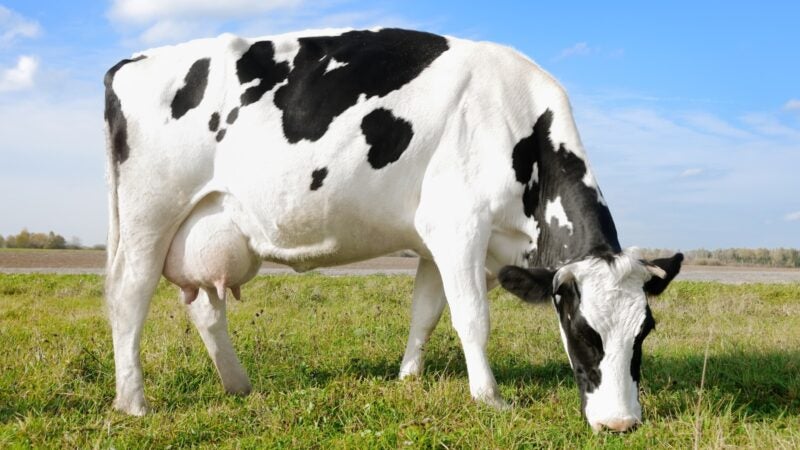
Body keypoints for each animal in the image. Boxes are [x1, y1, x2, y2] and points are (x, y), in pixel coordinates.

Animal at [103, 27, 682, 432]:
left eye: (644, 332)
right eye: (583, 331)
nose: (621, 423)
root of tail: (132, 62)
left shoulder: (434, 241)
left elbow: (425, 313)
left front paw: (408, 379)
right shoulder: (459, 226)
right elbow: (473, 318)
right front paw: (490, 398)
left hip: (206, 227)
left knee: (204, 307)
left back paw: (238, 386)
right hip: (149, 215)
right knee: (128, 297)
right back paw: (134, 403)